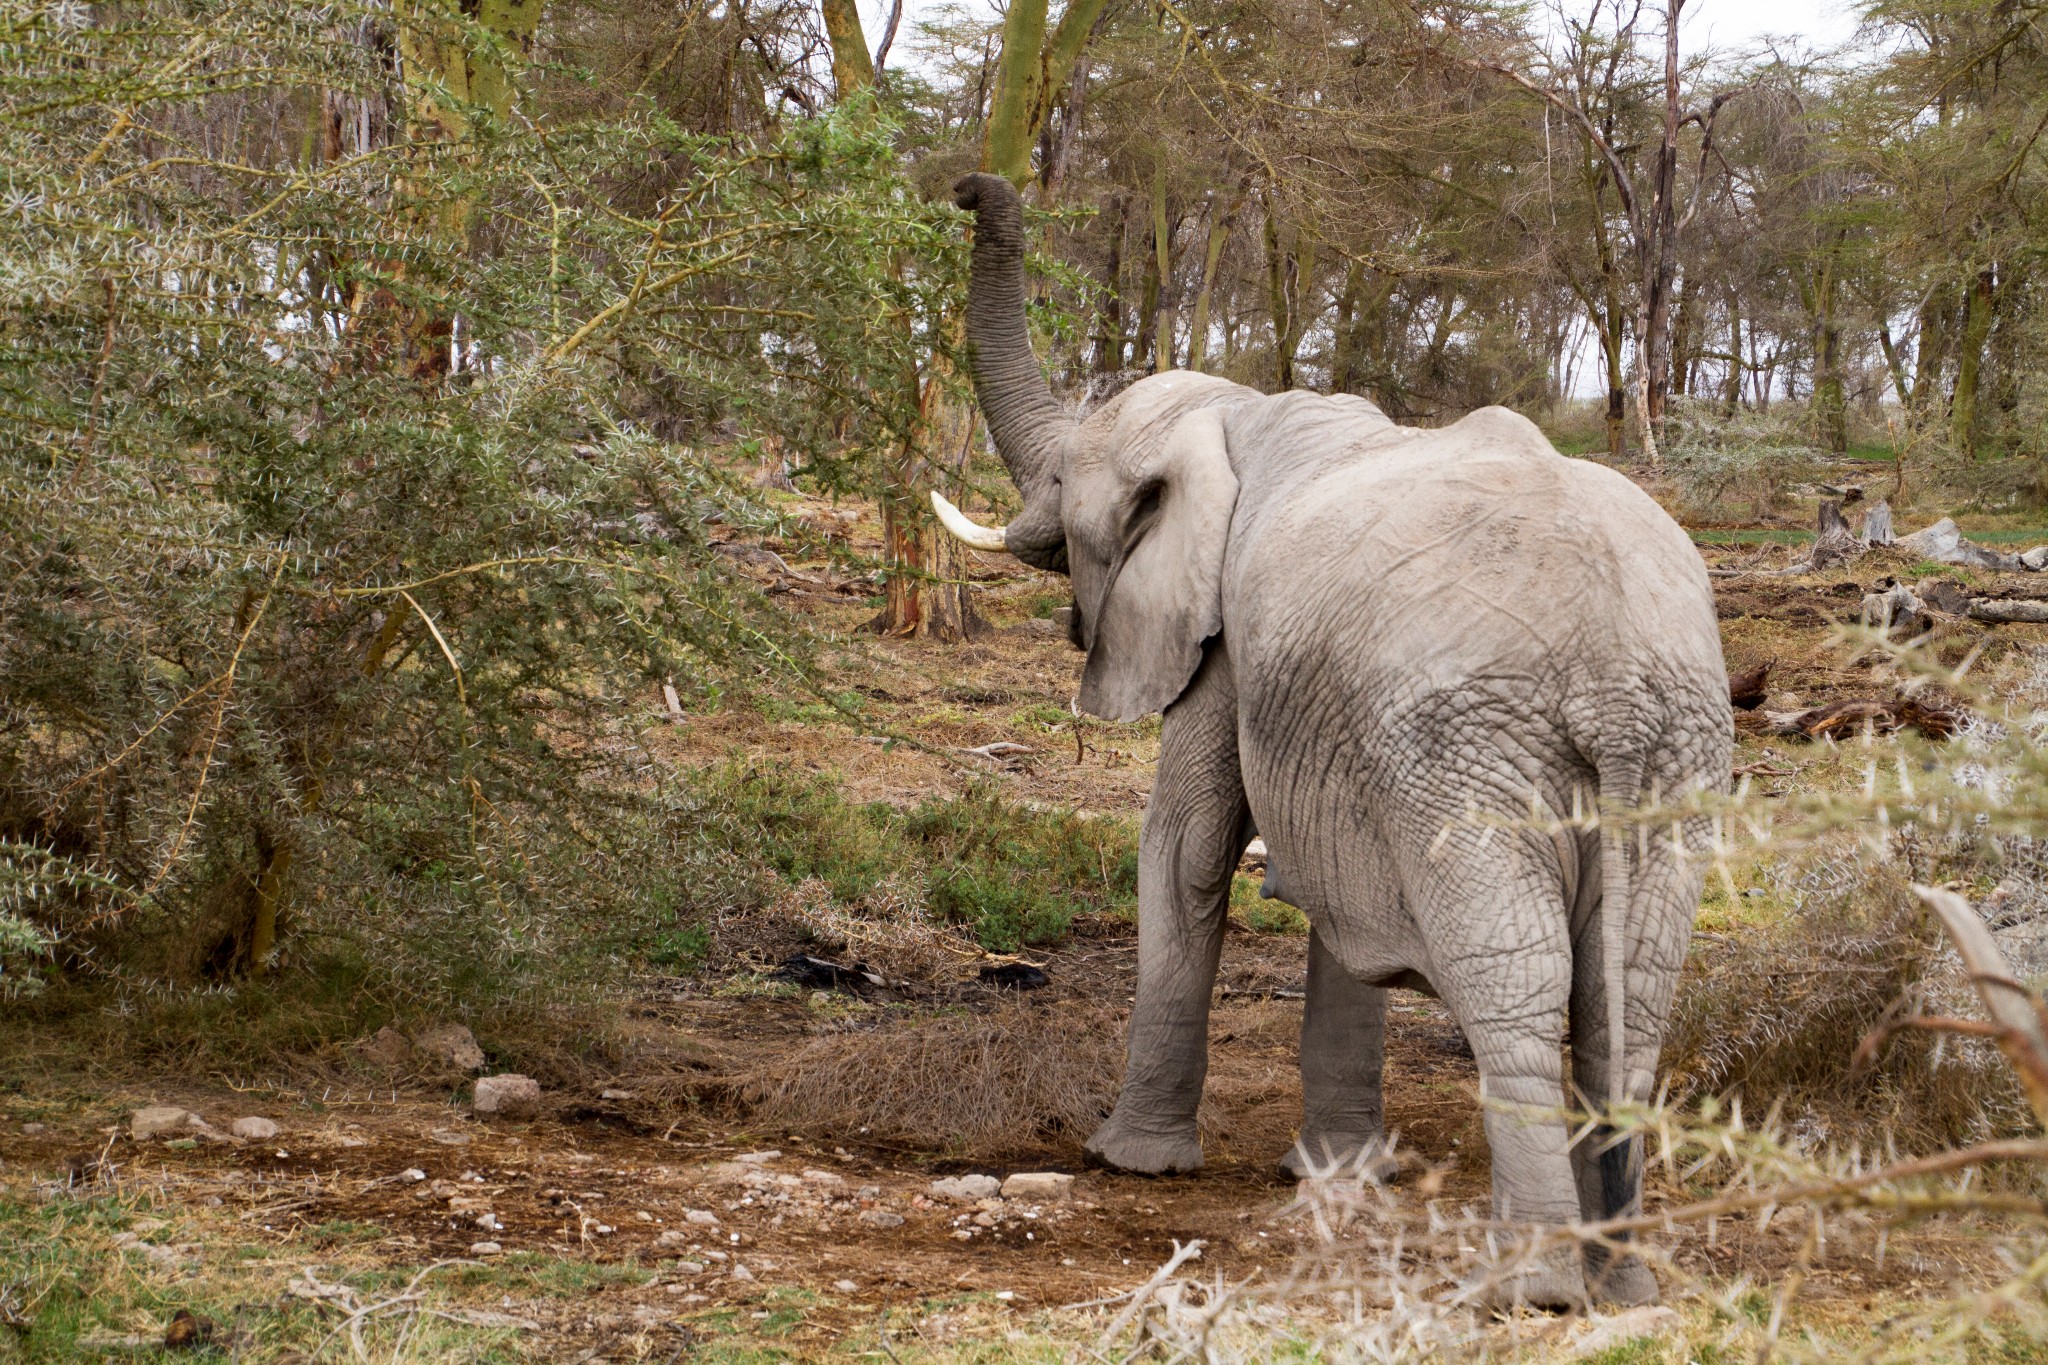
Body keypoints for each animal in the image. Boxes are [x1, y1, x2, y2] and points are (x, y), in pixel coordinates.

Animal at [937, 173, 1736, 1309]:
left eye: (1065, 489)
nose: (970, 187)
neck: (1236, 411)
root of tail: (1616, 679)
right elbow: (1335, 902)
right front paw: (1333, 1176)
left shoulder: (1227, 640)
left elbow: (1185, 846)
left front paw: (1126, 1160)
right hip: (1673, 753)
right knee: (1627, 997)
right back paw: (1622, 1289)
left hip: (1470, 753)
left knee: (1519, 988)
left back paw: (1527, 1289)